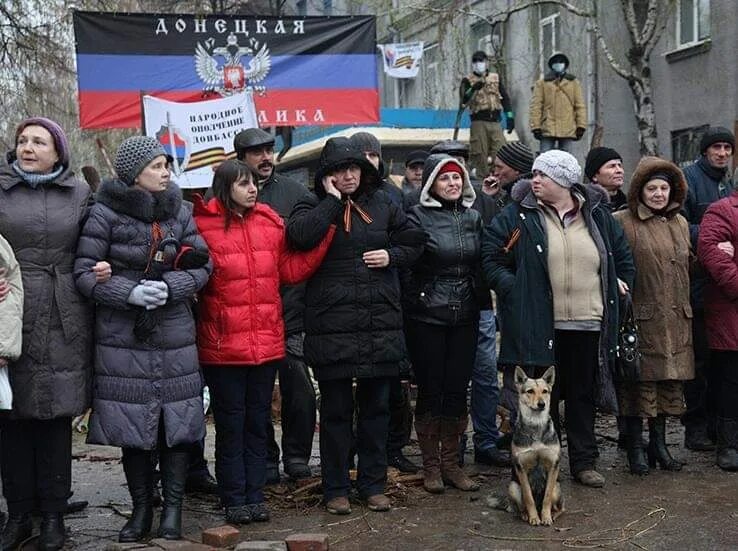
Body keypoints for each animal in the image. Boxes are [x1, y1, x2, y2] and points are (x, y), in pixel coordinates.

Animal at [488, 366, 564, 528]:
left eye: (545, 391)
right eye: (530, 391)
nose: (542, 404)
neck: (535, 426)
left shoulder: (553, 465)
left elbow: (547, 497)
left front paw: (546, 517)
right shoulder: (521, 467)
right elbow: (528, 497)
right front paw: (534, 517)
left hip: (557, 487)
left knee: (560, 507)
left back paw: (553, 514)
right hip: (513, 487)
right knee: (521, 506)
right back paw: (525, 515)